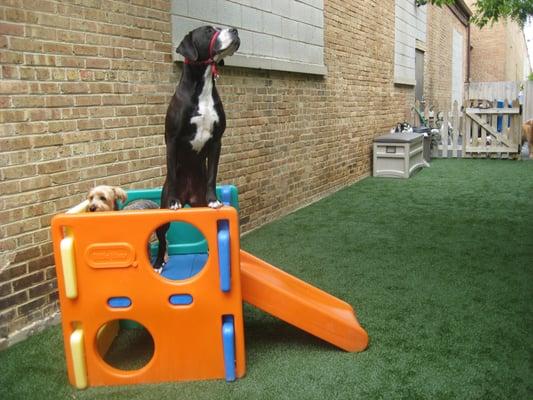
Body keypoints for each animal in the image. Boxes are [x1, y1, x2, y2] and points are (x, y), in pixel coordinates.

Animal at [152, 26, 239, 270]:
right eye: (208, 30)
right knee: (162, 238)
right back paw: (158, 262)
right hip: (162, 216)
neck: (203, 88)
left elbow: (212, 173)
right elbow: (172, 170)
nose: (234, 30)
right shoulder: (171, 139)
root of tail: (189, 196)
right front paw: (173, 201)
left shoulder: (217, 140)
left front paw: (214, 199)